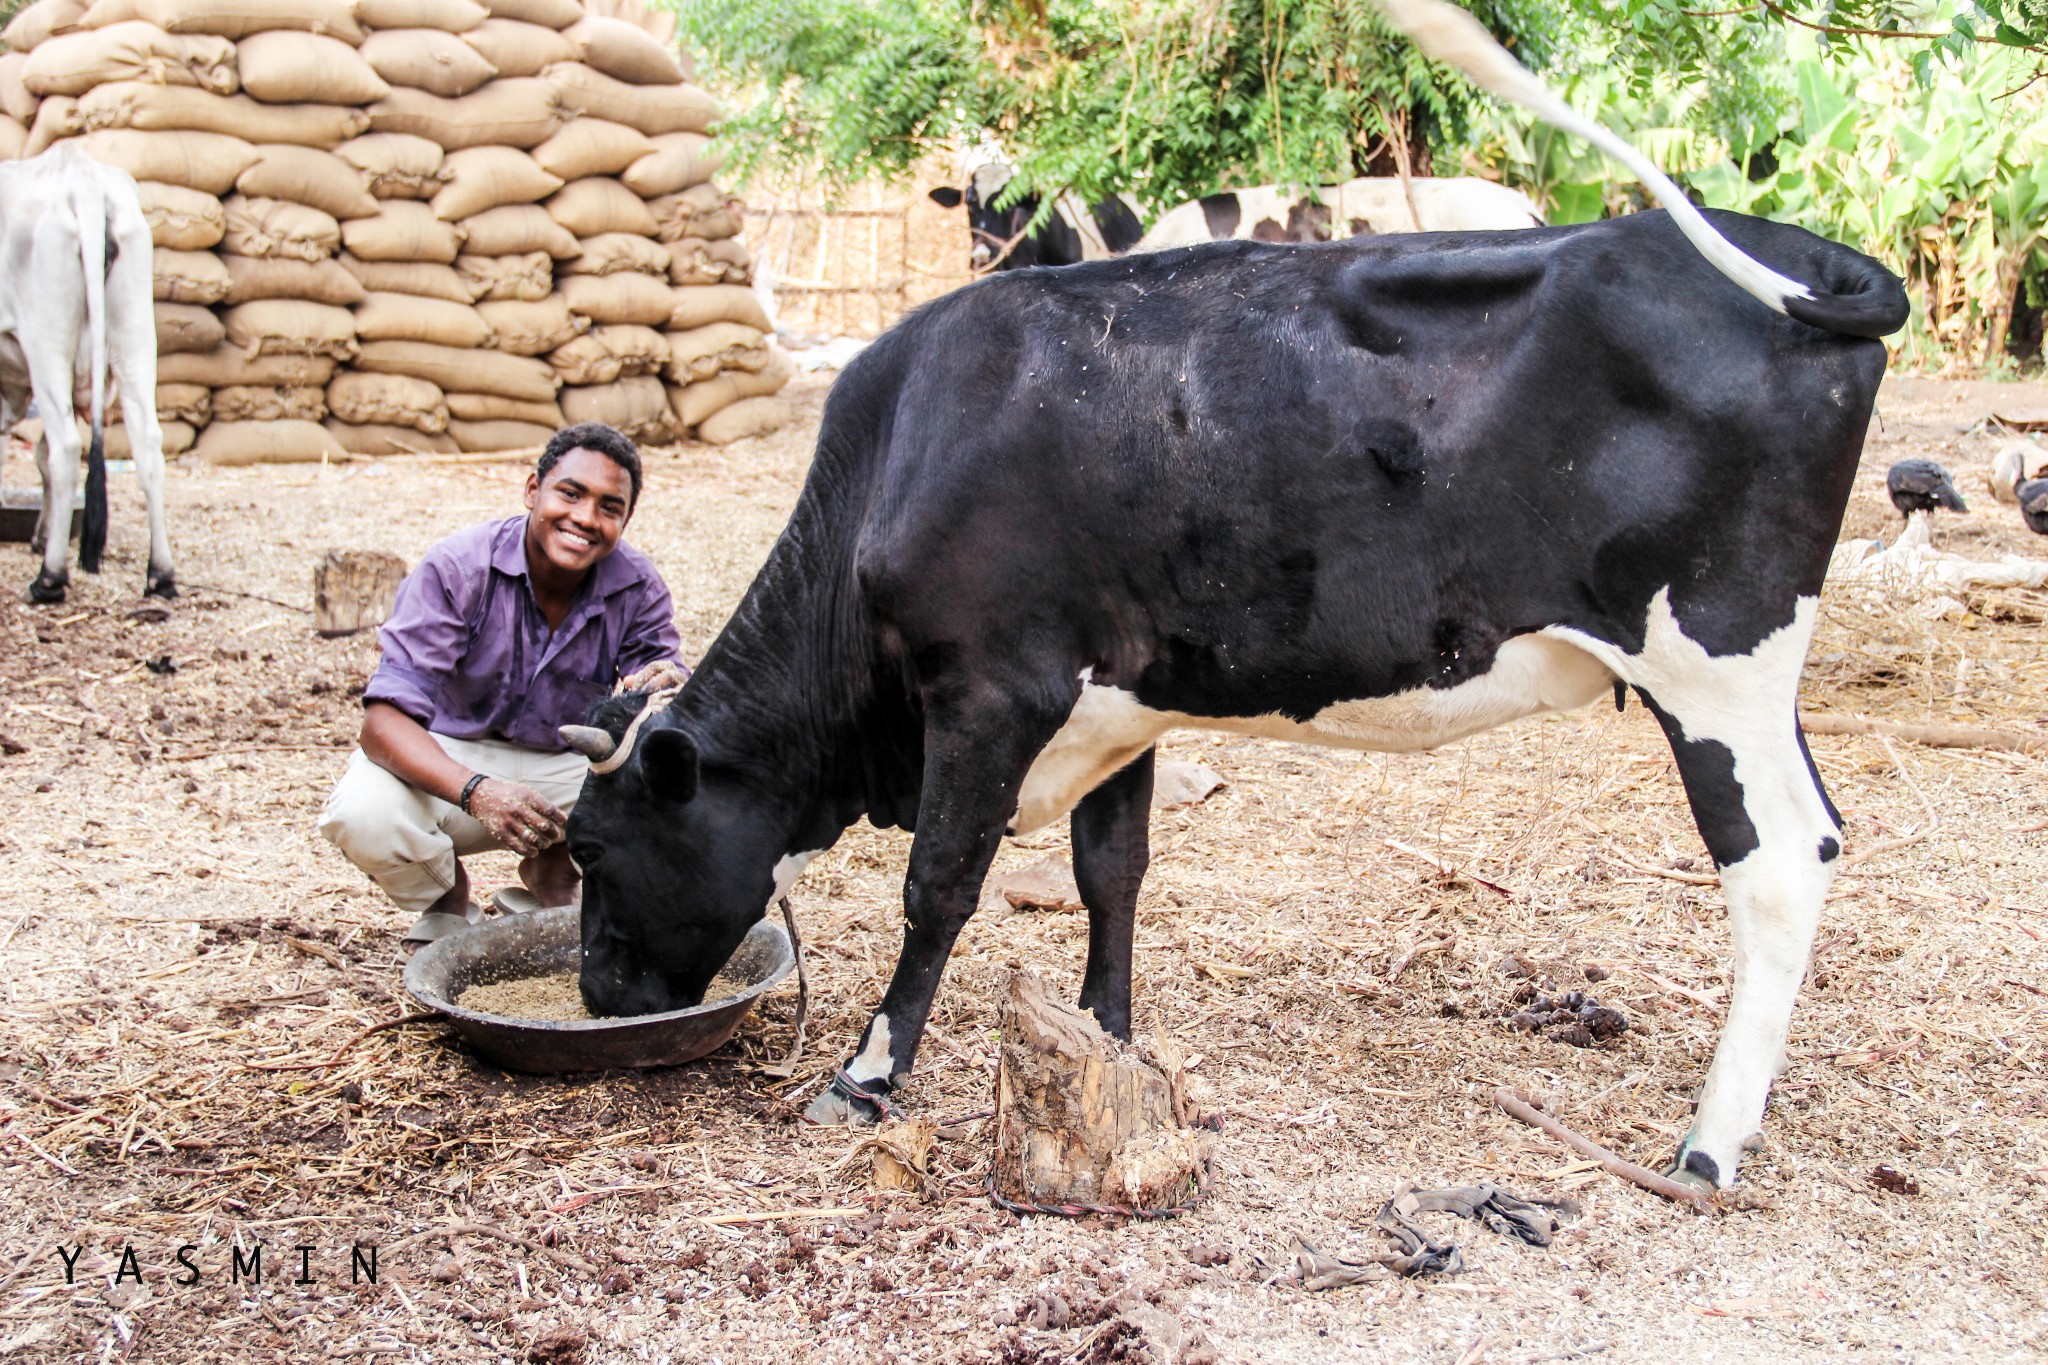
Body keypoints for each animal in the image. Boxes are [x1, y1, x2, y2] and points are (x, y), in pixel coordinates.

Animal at [0, 143, 172, 601]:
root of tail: (83, 180)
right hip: (135, 339)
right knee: (148, 446)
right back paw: (161, 574)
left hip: (46, 344)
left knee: (64, 447)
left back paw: (50, 578)